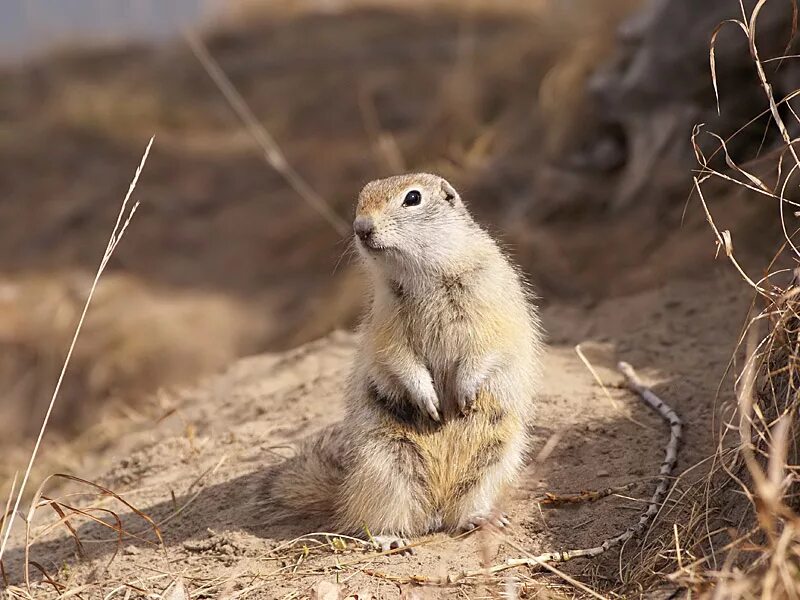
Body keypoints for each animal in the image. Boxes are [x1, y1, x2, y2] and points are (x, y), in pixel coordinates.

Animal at [262, 173, 544, 552]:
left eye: (413, 198)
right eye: (361, 198)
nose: (361, 228)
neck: (425, 274)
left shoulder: (490, 297)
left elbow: (488, 344)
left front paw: (465, 393)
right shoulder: (386, 319)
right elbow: (397, 357)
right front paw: (428, 400)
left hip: (496, 457)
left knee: (463, 506)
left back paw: (480, 518)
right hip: (386, 465)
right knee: (383, 516)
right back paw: (389, 538)